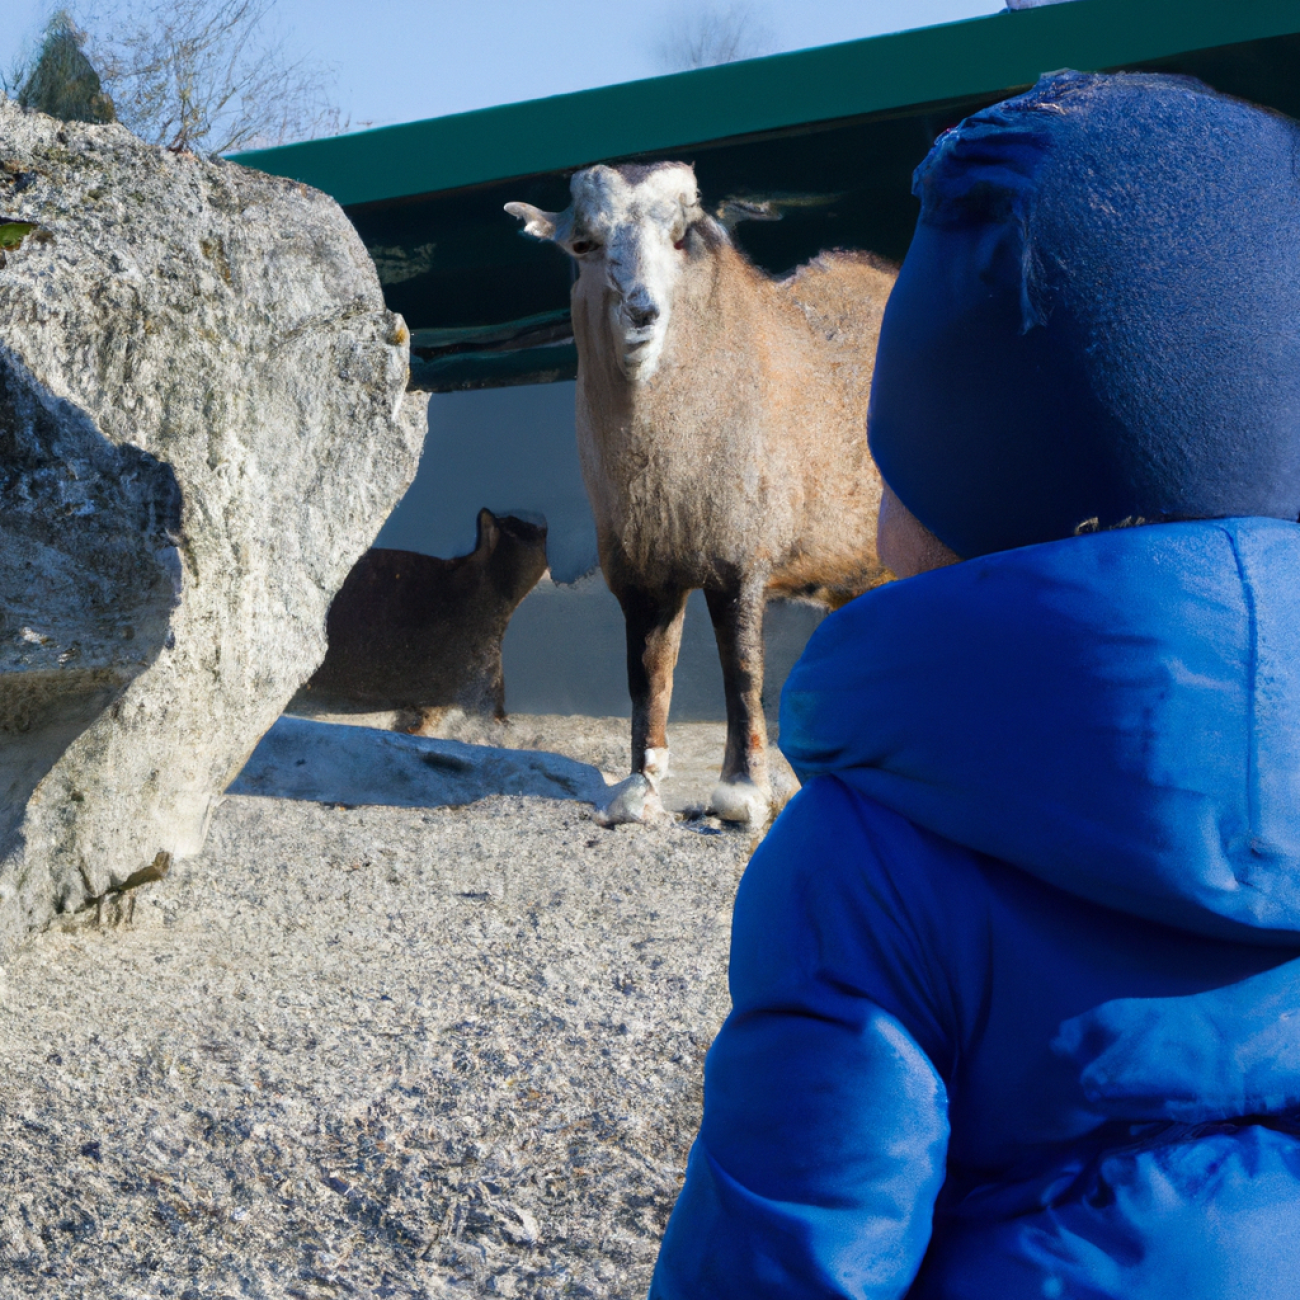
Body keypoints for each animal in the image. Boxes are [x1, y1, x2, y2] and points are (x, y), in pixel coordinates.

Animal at [506, 165, 894, 821]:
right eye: (583, 244)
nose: (642, 311)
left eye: (680, 236)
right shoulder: (641, 572)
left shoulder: (738, 559)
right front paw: (639, 787)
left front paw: (742, 792)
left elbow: (741, 671)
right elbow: (647, 674)